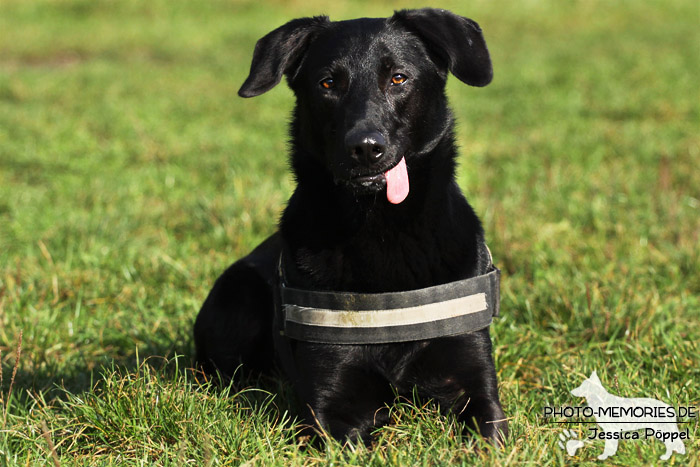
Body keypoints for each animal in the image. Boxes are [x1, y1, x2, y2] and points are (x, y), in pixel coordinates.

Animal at [194, 8, 506, 446]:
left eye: (398, 78)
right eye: (328, 84)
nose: (365, 148)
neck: (380, 230)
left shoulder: (474, 385)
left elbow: (489, 434)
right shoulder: (333, 408)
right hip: (238, 295)